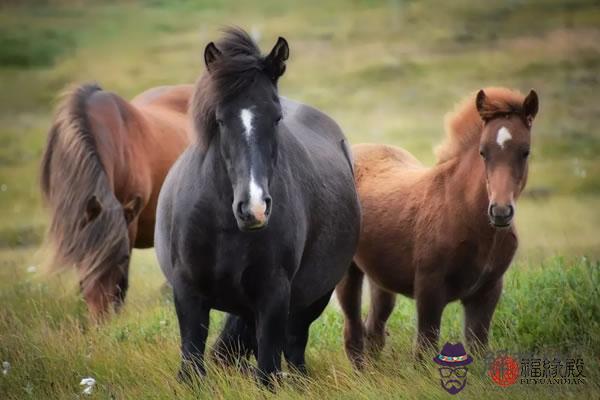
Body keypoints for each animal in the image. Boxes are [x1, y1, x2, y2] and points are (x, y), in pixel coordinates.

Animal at [156, 29, 360, 386]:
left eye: (276, 118)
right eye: (220, 120)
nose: (254, 208)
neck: (224, 226)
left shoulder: (274, 295)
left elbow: (267, 370)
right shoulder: (187, 292)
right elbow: (192, 362)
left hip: (313, 298)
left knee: (294, 346)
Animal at [338, 86, 540, 366]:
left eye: (525, 151)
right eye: (483, 152)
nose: (500, 212)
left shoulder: (487, 292)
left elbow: (478, 348)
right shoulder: (429, 288)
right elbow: (424, 349)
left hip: (381, 277)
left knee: (374, 330)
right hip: (348, 272)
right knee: (353, 334)